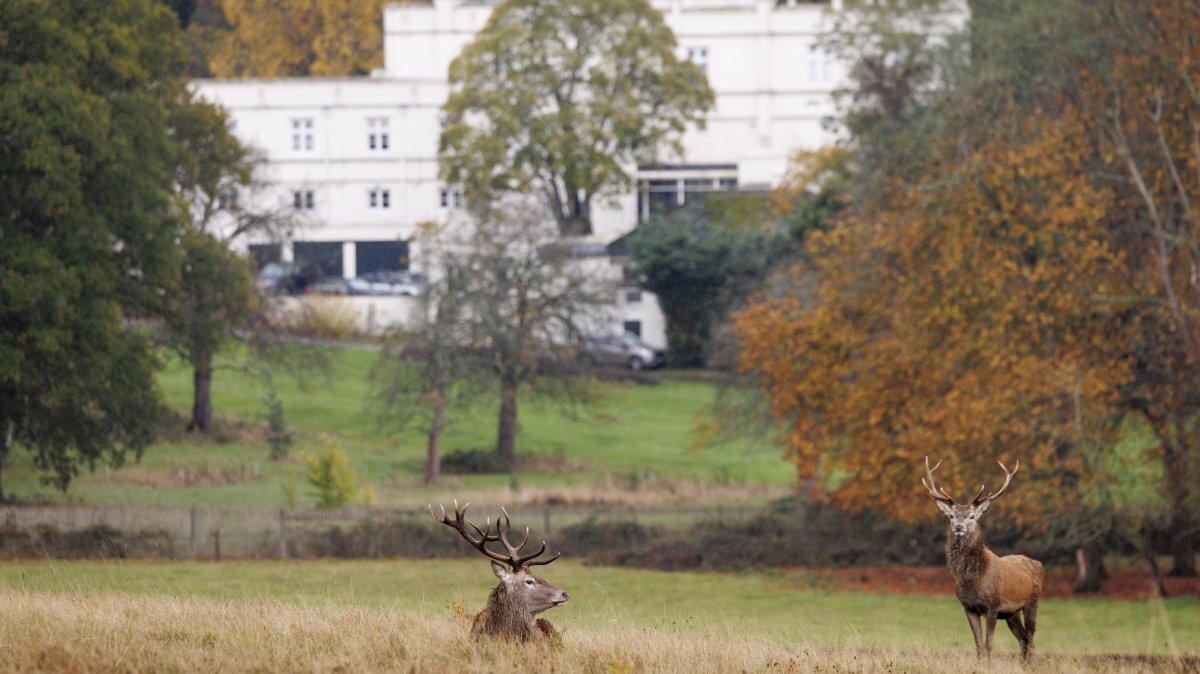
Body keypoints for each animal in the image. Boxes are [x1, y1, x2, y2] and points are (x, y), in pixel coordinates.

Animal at [922, 457, 1044, 662]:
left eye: (971, 516)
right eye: (951, 516)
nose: (959, 527)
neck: (973, 580)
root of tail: (1038, 564)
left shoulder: (992, 605)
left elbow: (988, 646)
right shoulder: (969, 607)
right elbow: (979, 647)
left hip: (1032, 602)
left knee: (1031, 639)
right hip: (1011, 614)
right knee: (1024, 640)